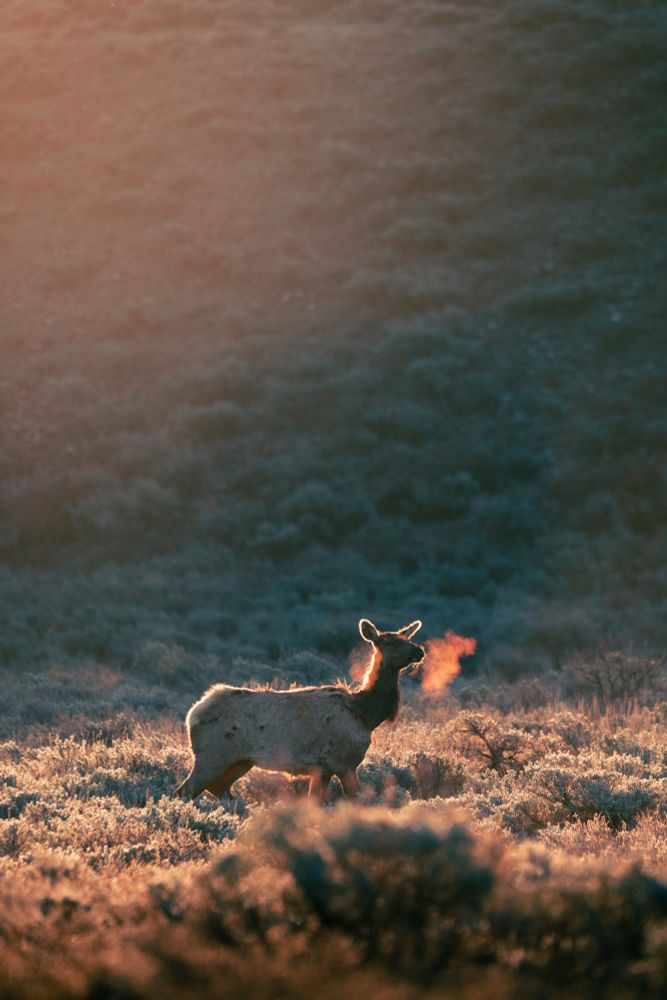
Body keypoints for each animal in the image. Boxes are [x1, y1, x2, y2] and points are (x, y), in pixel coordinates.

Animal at [175, 618, 424, 804]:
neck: (365, 713)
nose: (420, 650)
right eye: (389, 642)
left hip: (240, 761)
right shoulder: (343, 762)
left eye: (407, 638)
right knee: (184, 791)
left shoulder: (323, 768)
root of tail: (192, 715)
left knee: (219, 790)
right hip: (211, 756)